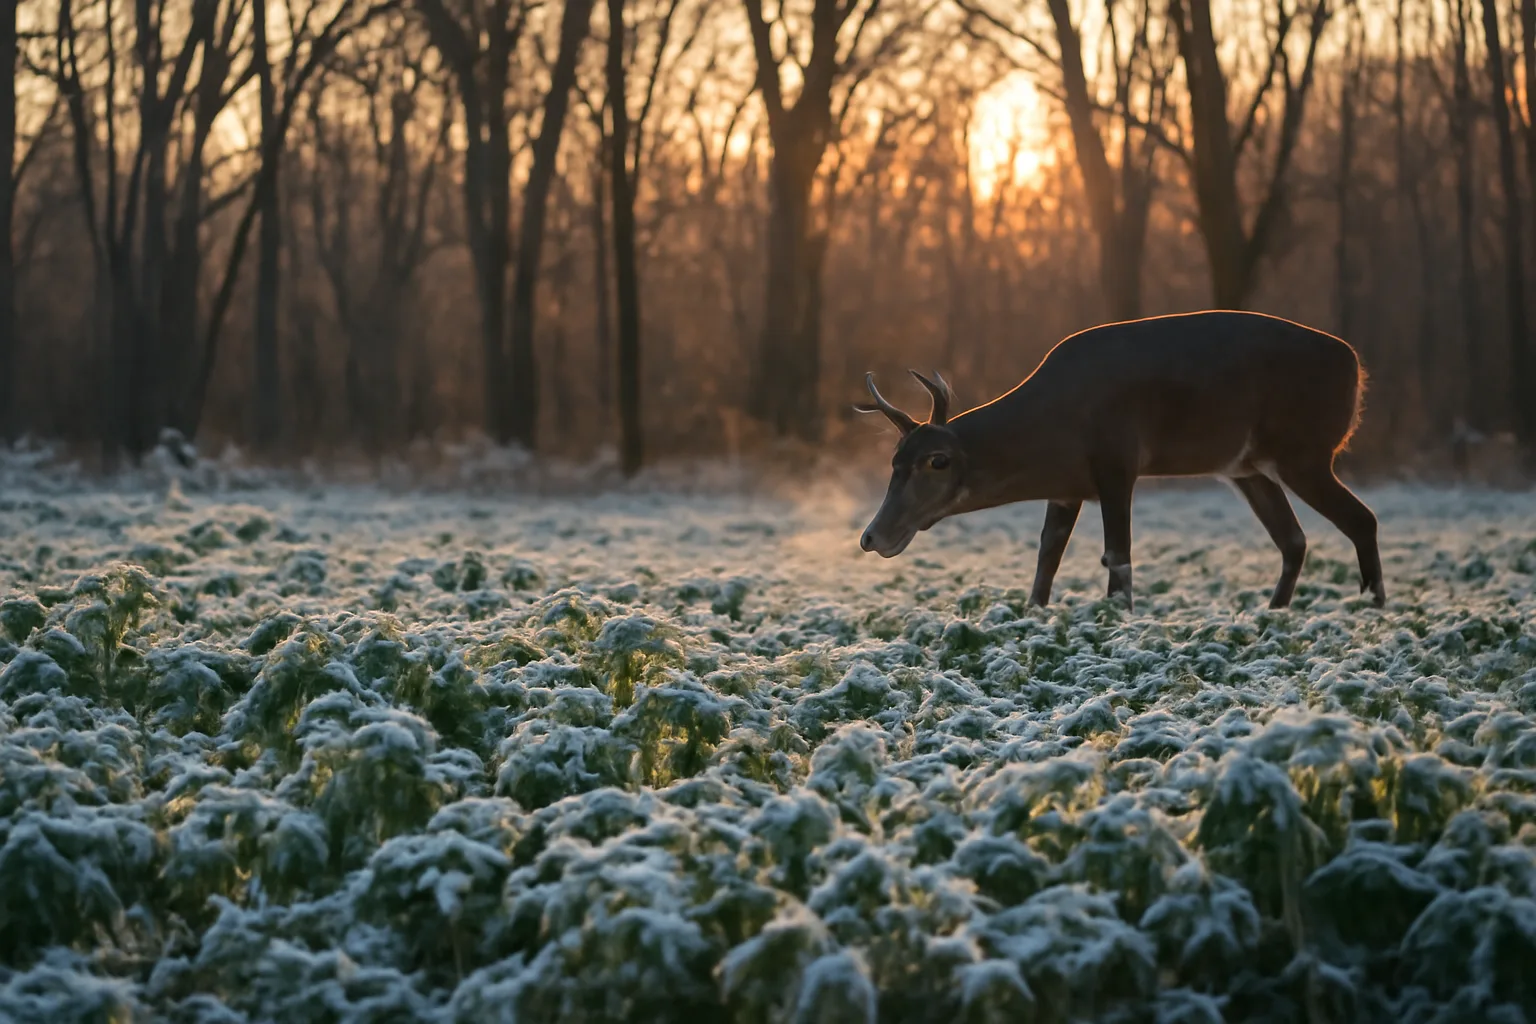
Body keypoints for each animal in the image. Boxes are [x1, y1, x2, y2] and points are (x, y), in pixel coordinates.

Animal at [854, 310, 1385, 612]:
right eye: (894, 460)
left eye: (938, 461)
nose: (871, 537)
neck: (1055, 425)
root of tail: (1356, 366)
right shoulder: (1066, 487)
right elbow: (1047, 559)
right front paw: (1033, 614)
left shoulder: (1116, 461)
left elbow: (1119, 555)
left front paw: (1119, 619)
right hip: (1249, 467)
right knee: (1294, 540)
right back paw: (1273, 614)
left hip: (1305, 451)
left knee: (1362, 519)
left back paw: (1374, 606)